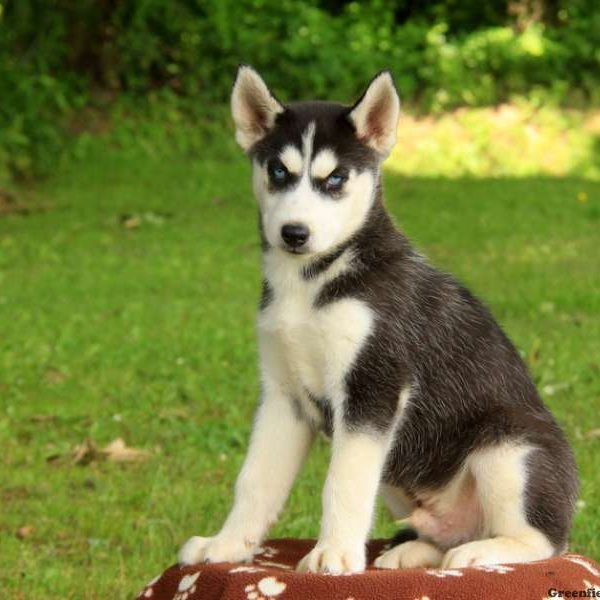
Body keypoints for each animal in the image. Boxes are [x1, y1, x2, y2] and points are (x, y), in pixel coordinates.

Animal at [178, 65, 576, 572]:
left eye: (335, 178)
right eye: (278, 171)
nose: (294, 233)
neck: (312, 283)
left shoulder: (373, 388)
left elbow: (343, 482)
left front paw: (332, 554)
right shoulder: (283, 397)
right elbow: (255, 480)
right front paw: (226, 545)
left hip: (508, 446)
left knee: (544, 540)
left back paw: (483, 552)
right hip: (402, 476)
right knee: (445, 532)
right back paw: (415, 551)